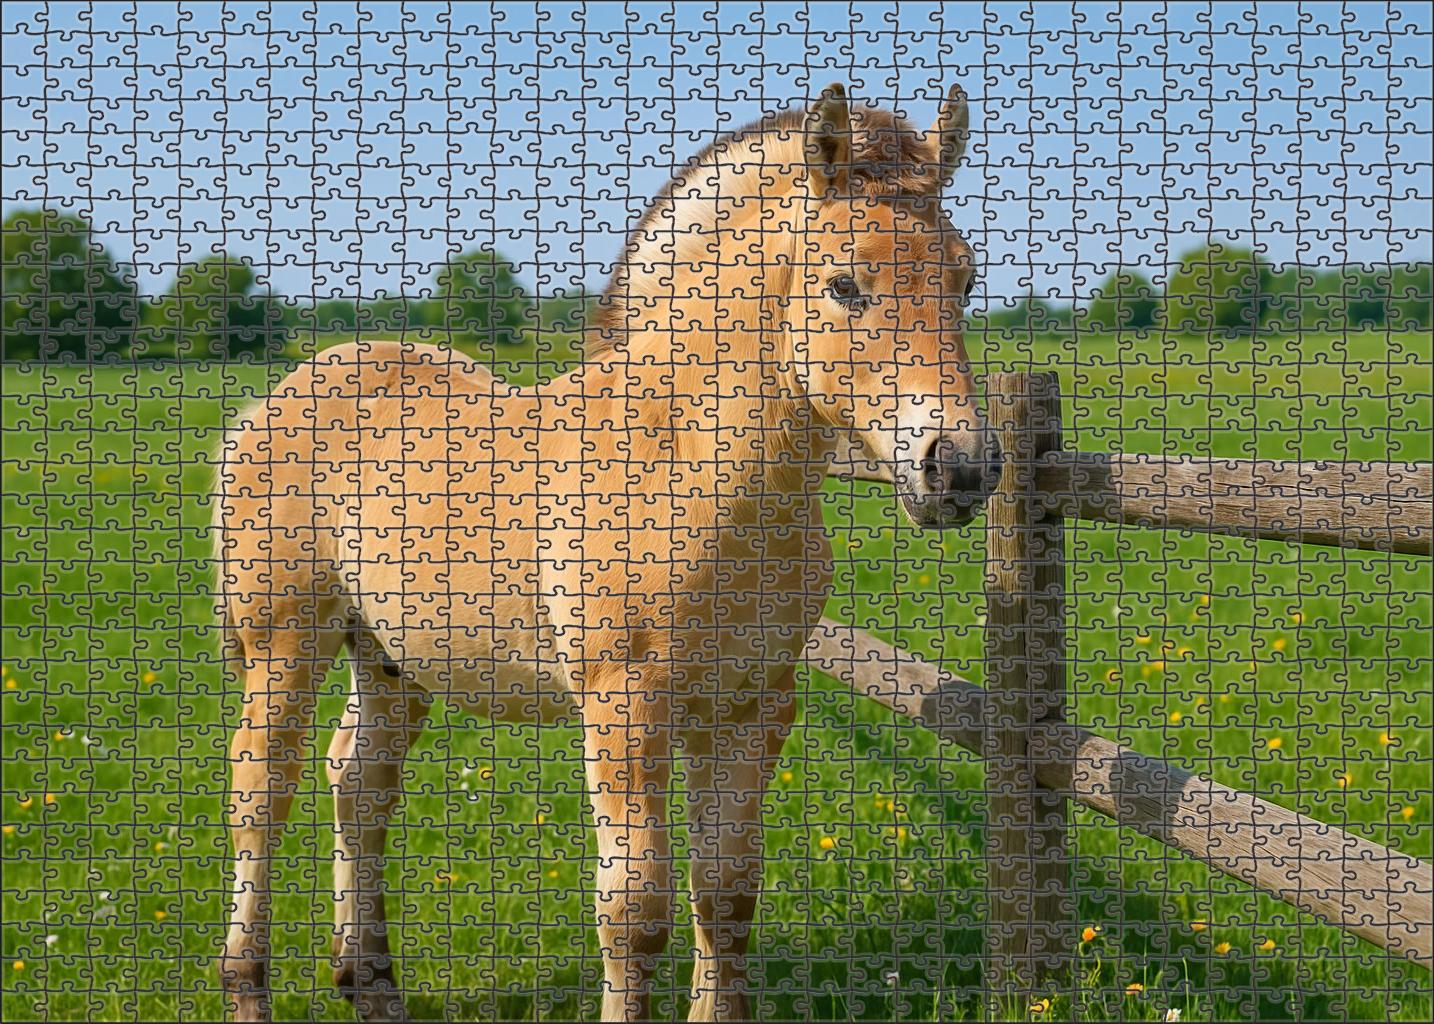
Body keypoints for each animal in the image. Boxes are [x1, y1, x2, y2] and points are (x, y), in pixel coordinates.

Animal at [214, 82, 996, 1023]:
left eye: (964, 277)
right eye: (844, 284)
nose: (958, 466)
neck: (688, 467)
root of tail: (277, 397)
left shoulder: (751, 706)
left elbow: (725, 895)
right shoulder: (625, 706)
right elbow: (636, 911)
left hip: (392, 656)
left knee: (358, 783)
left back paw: (371, 987)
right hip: (286, 642)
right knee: (261, 791)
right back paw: (248, 985)